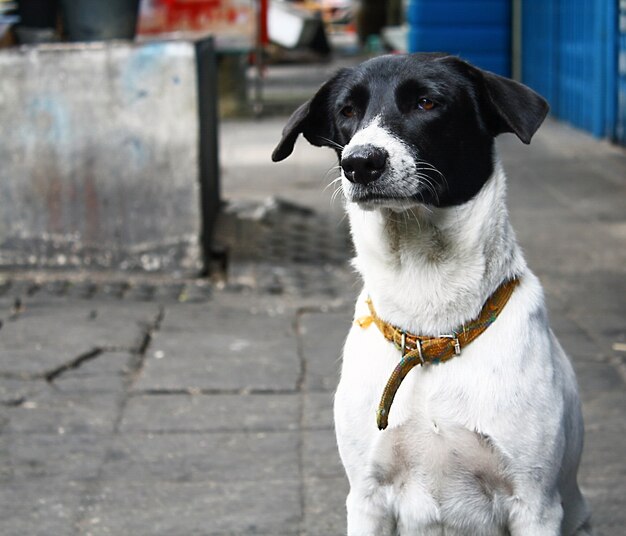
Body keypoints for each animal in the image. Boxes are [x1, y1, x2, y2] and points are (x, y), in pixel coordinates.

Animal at [270, 53, 588, 536]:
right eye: (347, 111)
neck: (431, 327)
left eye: (426, 102)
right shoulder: (367, 499)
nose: (360, 163)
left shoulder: (535, 504)